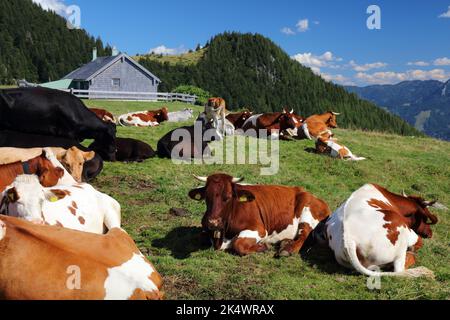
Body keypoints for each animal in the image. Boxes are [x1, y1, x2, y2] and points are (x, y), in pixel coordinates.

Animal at [188, 174, 332, 256]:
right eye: (206, 196)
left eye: (228, 197)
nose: (212, 222)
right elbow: (201, 237)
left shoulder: (260, 229)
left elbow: (238, 244)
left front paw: (262, 246)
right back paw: (285, 243)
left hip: (307, 213)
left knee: (303, 235)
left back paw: (288, 249)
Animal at [312, 185, 442, 278]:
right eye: (425, 219)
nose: (430, 233)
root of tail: (348, 240)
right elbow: (419, 242)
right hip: (400, 234)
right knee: (400, 269)